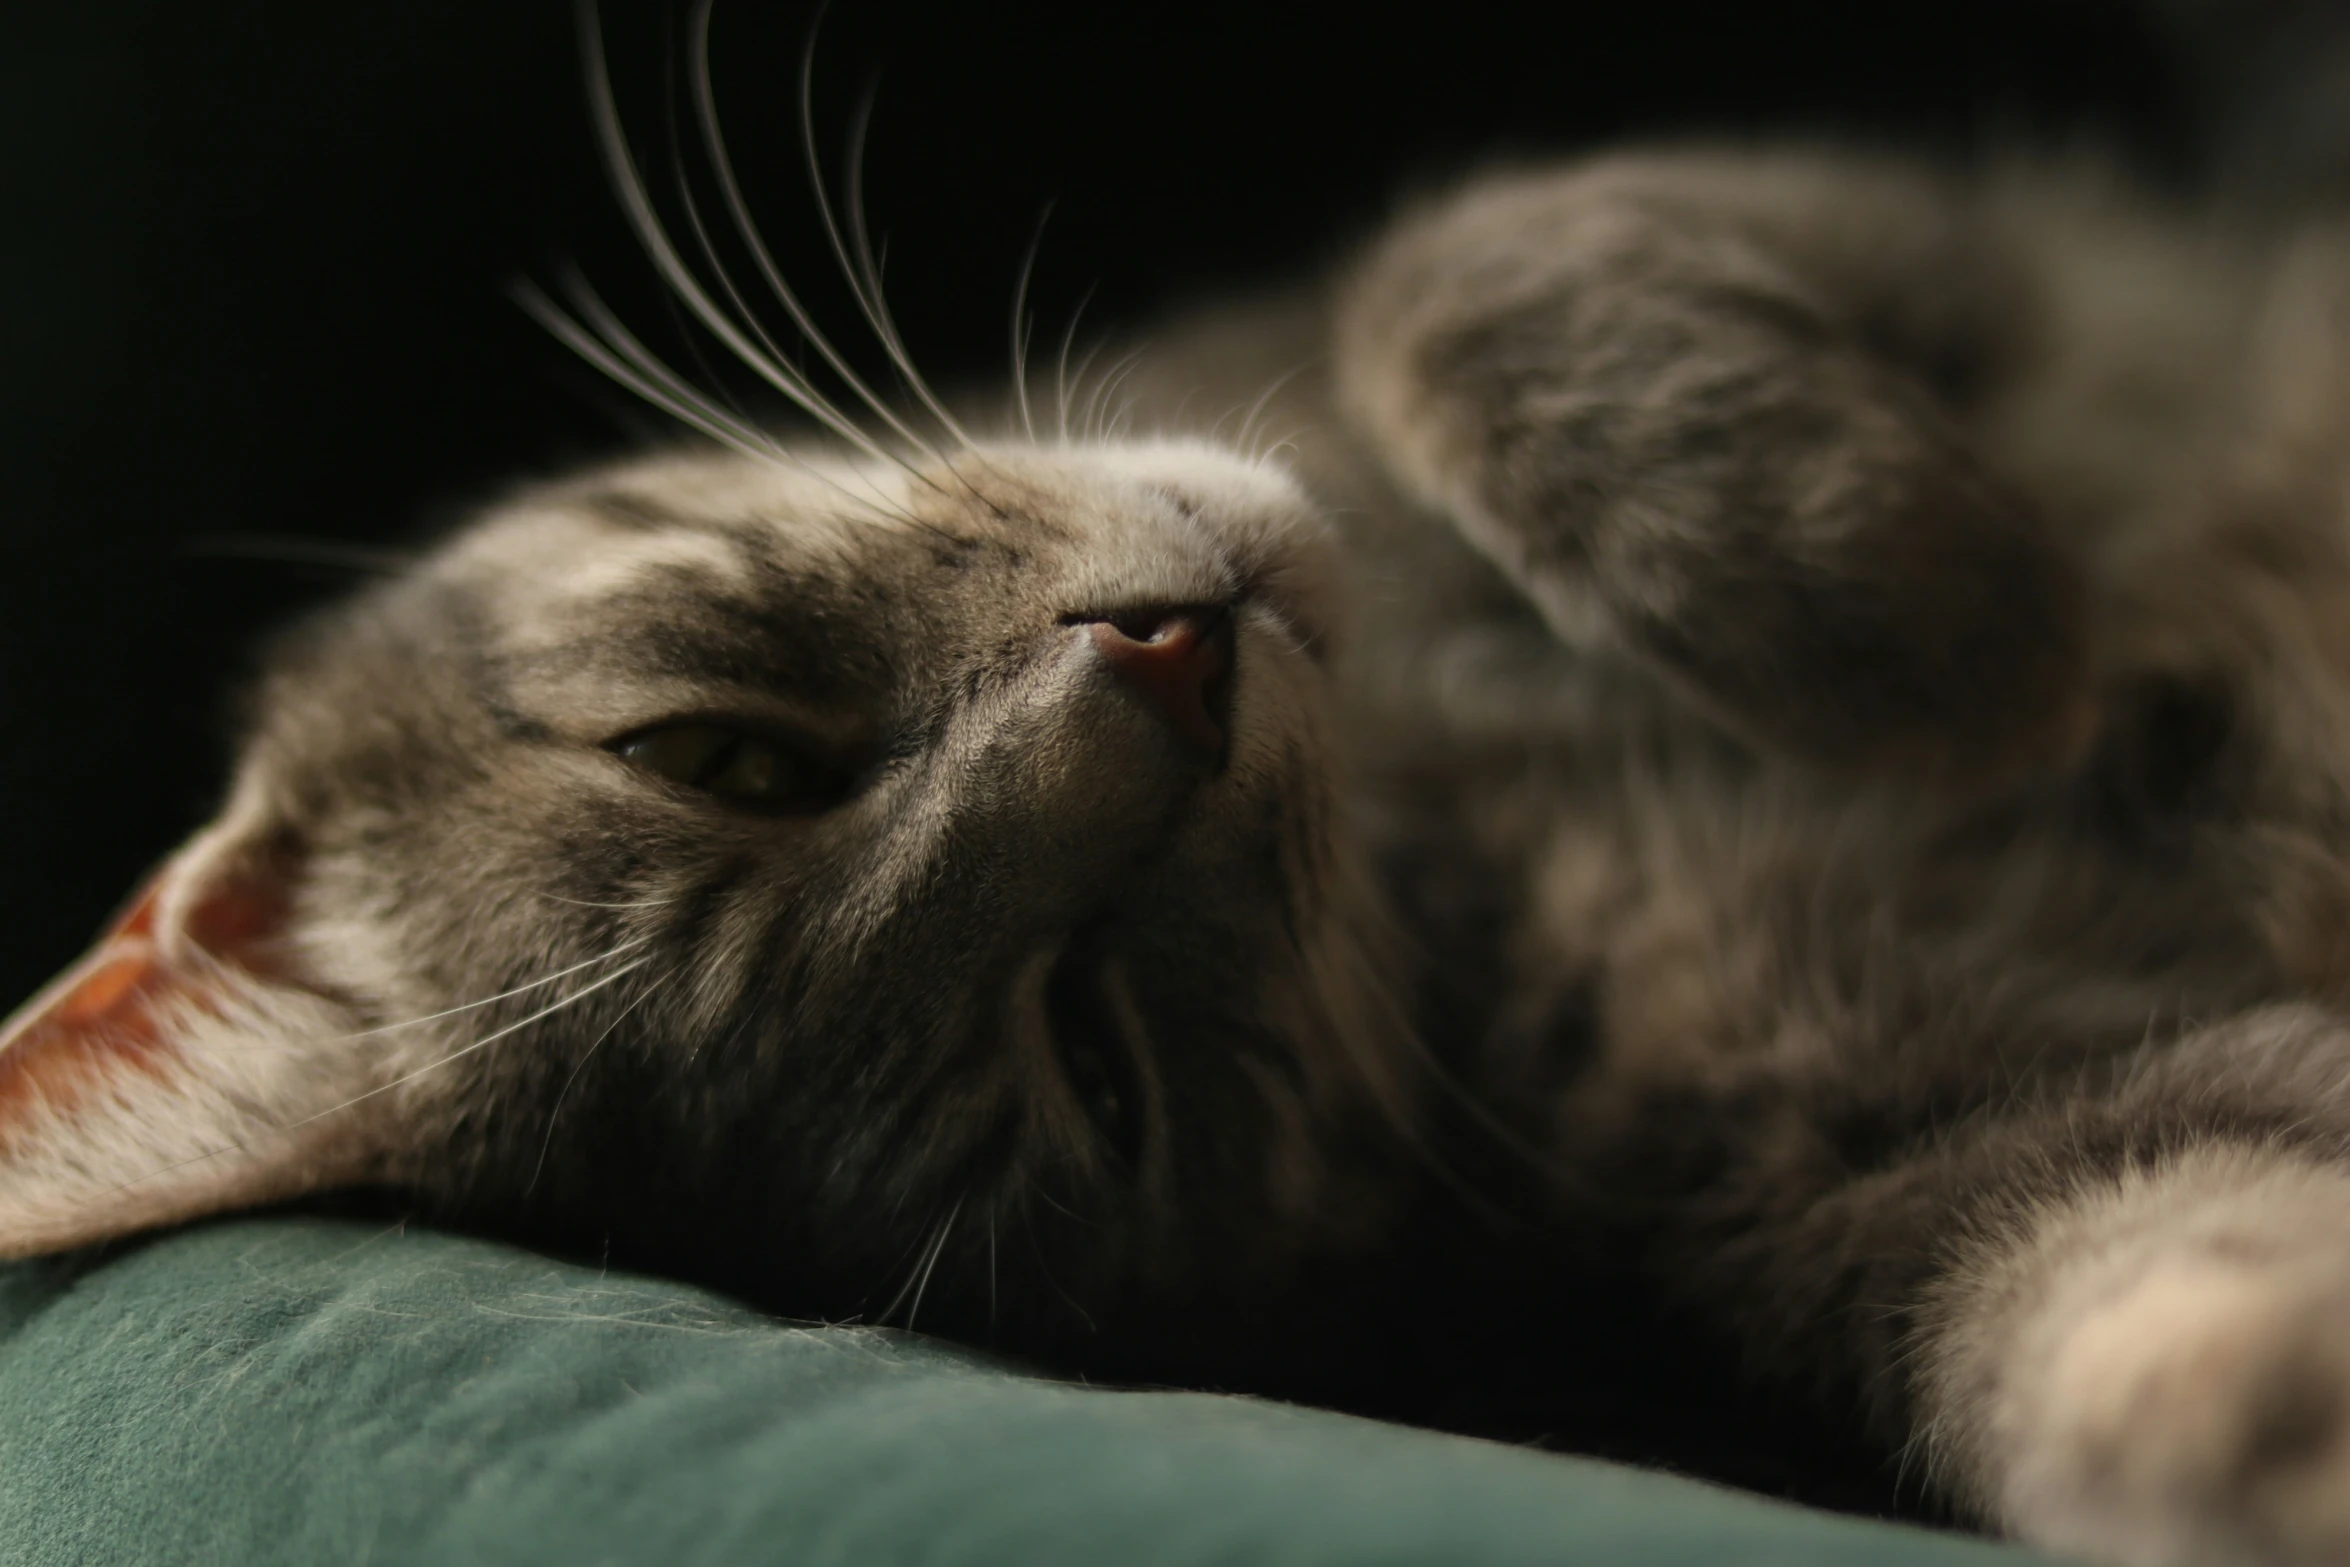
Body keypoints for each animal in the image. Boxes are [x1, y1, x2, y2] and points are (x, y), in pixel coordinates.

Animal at [4, 46, 2350, 1559]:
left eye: (717, 753)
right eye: (1093, 1046)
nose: (1175, 665)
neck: (1453, 822)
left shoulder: (1904, 231)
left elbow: (1471, 285)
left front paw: (1926, 626)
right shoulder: (1924, 1142)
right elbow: (2126, 1310)